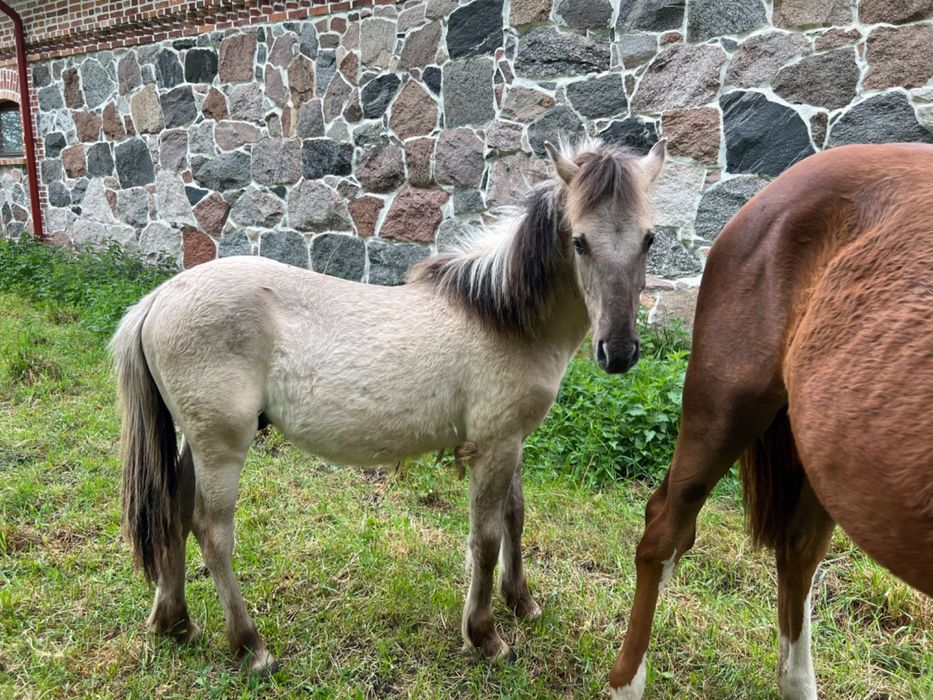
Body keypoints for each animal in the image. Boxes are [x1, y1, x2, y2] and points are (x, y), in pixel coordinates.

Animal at [113, 138, 668, 672]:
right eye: (579, 241)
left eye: (649, 239)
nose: (619, 352)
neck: (502, 316)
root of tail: (159, 298)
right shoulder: (495, 445)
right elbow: (486, 539)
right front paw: (486, 636)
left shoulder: (512, 442)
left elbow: (515, 517)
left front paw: (522, 603)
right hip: (222, 446)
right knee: (212, 532)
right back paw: (252, 648)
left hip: (195, 441)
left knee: (174, 515)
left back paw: (175, 623)